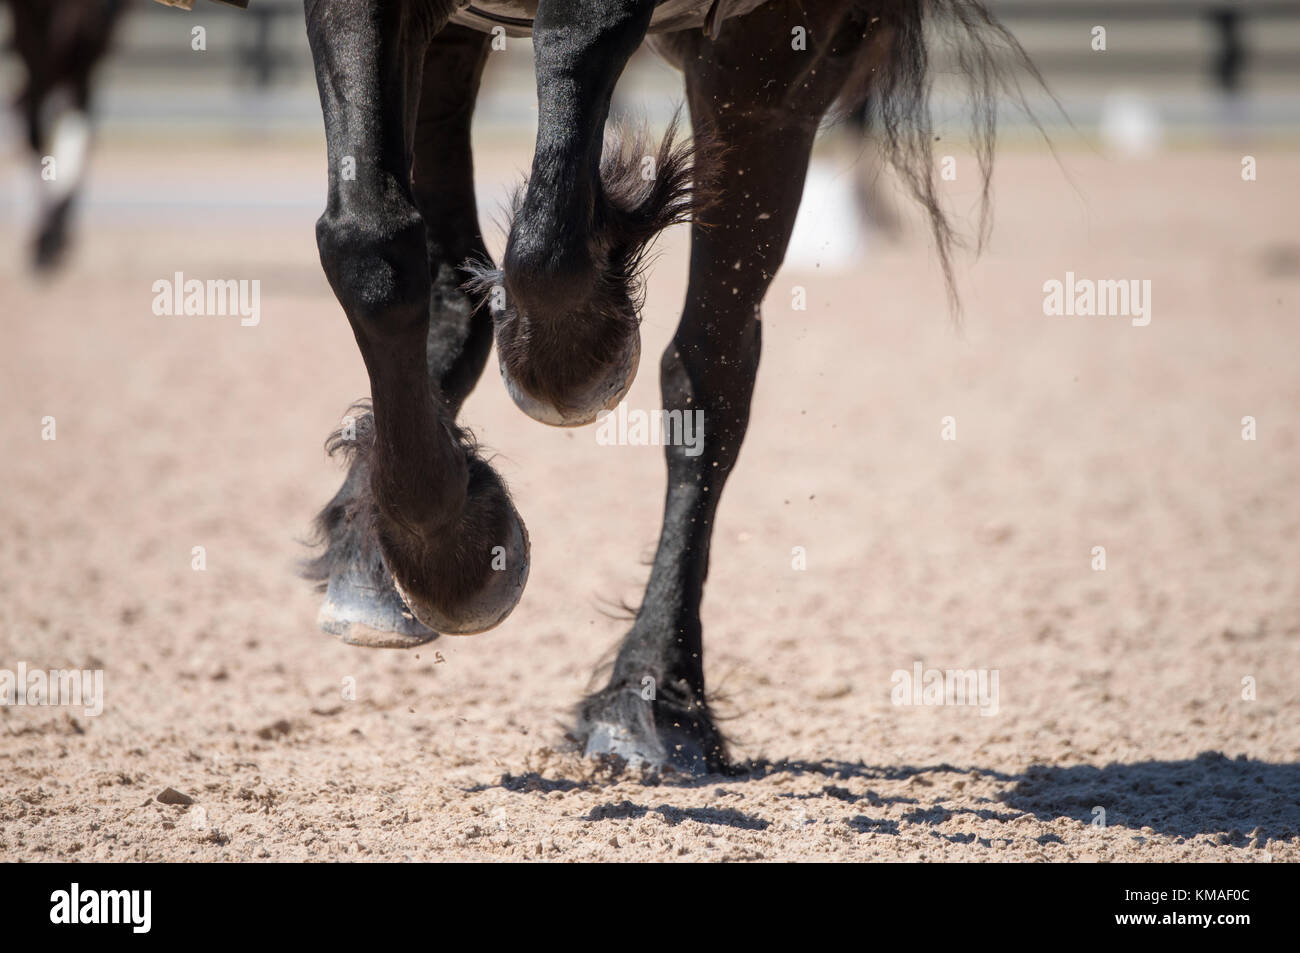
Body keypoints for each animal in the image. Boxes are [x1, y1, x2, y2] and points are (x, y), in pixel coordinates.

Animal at [5, 0, 127, 270]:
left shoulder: (88, 31)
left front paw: (52, 236)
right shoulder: (29, 23)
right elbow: (36, 130)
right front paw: (46, 238)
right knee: (29, 106)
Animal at [162, 0, 1039, 773]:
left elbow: (551, 249)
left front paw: (581, 340)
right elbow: (370, 249)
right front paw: (448, 546)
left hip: (766, 68)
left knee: (708, 376)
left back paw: (649, 700)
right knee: (449, 288)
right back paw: (373, 553)